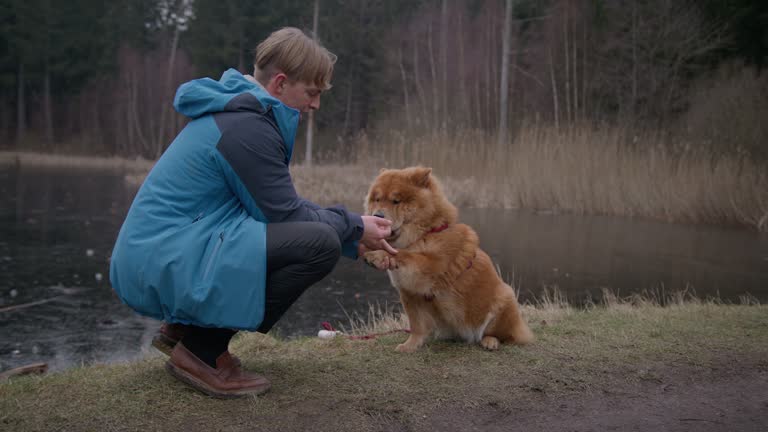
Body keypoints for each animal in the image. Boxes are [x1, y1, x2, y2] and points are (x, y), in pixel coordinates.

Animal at [362, 167, 532, 352]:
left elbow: (405, 254)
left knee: (505, 336)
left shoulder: (433, 267)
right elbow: (416, 326)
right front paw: (410, 346)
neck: (425, 234)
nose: (377, 215)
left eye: (396, 201)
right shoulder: (410, 293)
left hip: (505, 297)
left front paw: (378, 255)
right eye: (377, 199)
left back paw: (490, 341)